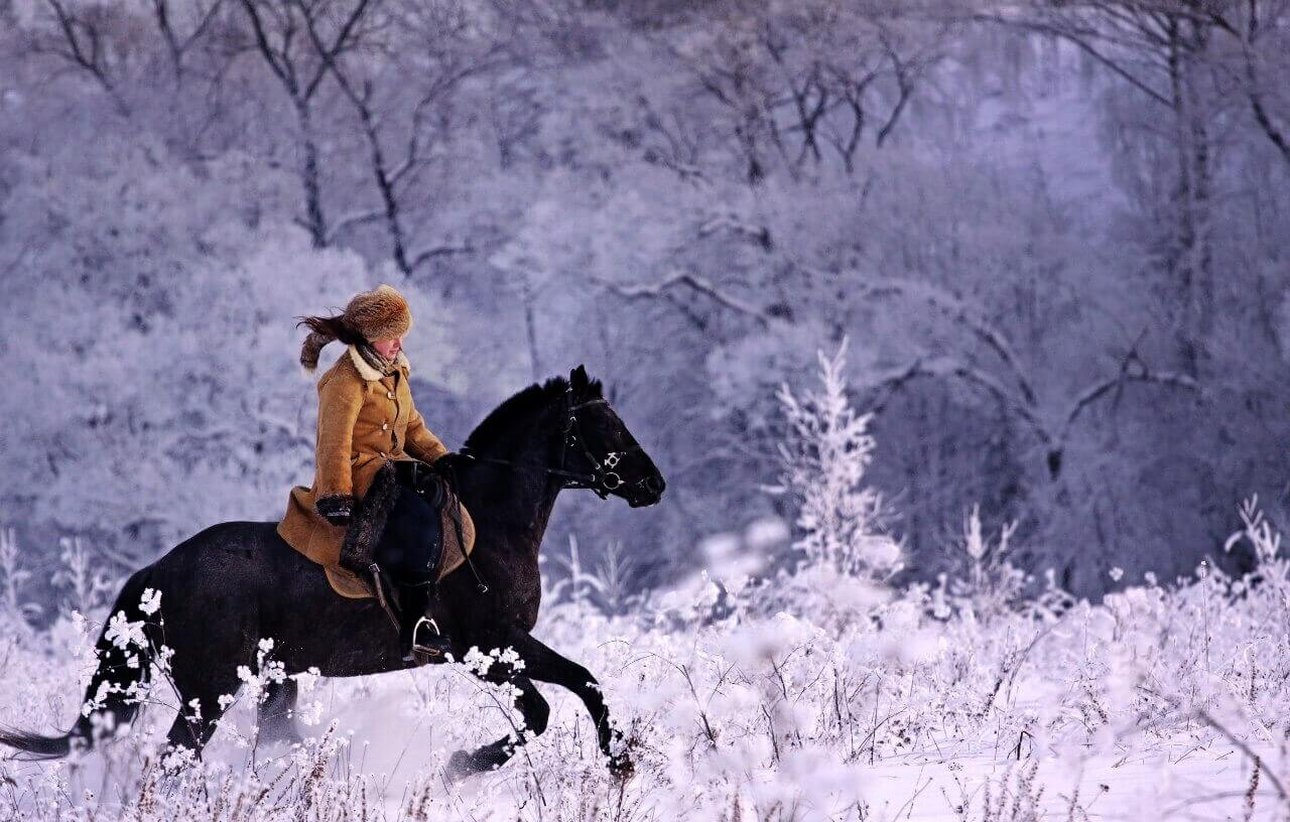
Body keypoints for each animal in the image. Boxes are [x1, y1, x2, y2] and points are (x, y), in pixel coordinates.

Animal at [0, 366, 665, 774]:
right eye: (603, 425)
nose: (653, 485)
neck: (492, 519)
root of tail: (159, 570)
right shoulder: (487, 646)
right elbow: (542, 710)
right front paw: (458, 770)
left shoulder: (510, 644)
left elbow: (585, 682)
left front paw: (620, 761)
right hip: (209, 690)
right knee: (172, 760)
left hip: (272, 679)